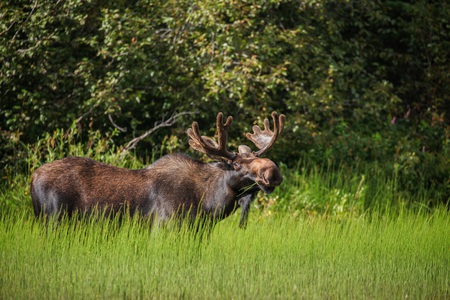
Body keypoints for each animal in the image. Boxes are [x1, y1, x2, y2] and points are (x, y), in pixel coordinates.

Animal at [30, 110, 284, 227]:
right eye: (236, 164)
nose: (273, 172)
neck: (210, 203)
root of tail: (32, 178)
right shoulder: (163, 227)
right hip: (53, 220)